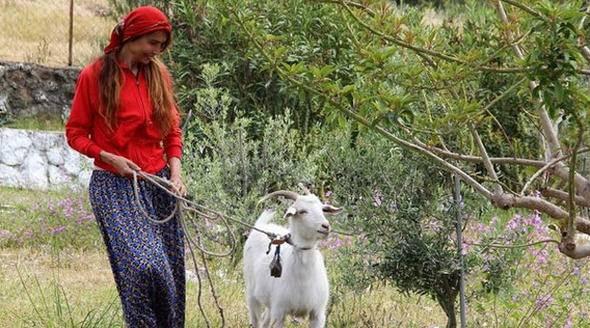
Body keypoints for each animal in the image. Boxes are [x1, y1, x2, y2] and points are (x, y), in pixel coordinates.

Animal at [243, 190, 342, 328]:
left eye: (322, 209)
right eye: (302, 211)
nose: (325, 226)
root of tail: (261, 225)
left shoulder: (318, 313)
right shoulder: (279, 312)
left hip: (269, 304)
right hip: (251, 294)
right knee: (256, 319)